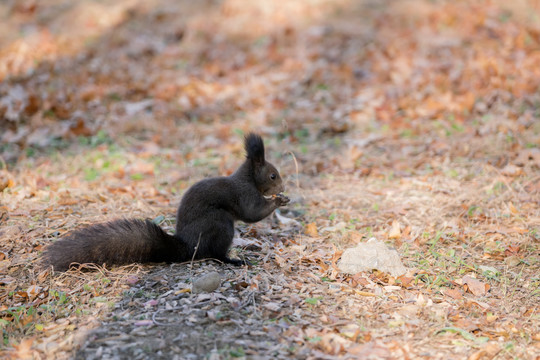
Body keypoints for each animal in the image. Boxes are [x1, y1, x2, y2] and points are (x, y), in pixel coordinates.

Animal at [41, 134, 292, 272]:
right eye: (272, 176)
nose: (283, 188)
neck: (248, 178)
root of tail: (187, 245)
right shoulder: (245, 194)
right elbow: (252, 213)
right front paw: (279, 201)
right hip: (219, 224)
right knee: (213, 254)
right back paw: (232, 261)